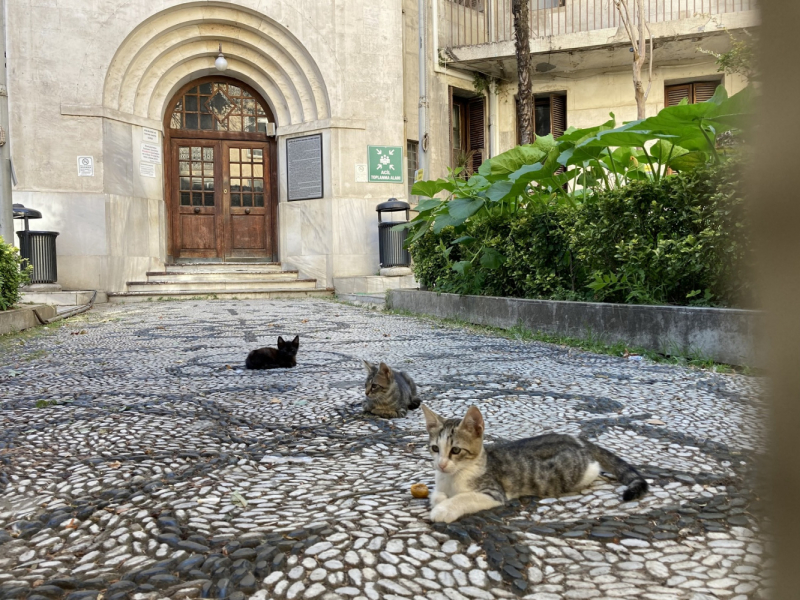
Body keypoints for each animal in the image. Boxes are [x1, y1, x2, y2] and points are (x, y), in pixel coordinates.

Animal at [422, 404, 648, 524]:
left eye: (455, 450)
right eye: (435, 449)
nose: (441, 465)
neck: (453, 477)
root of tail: (577, 439)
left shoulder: (493, 492)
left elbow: (464, 497)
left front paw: (443, 510)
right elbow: (437, 494)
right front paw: (440, 499)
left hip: (573, 472)